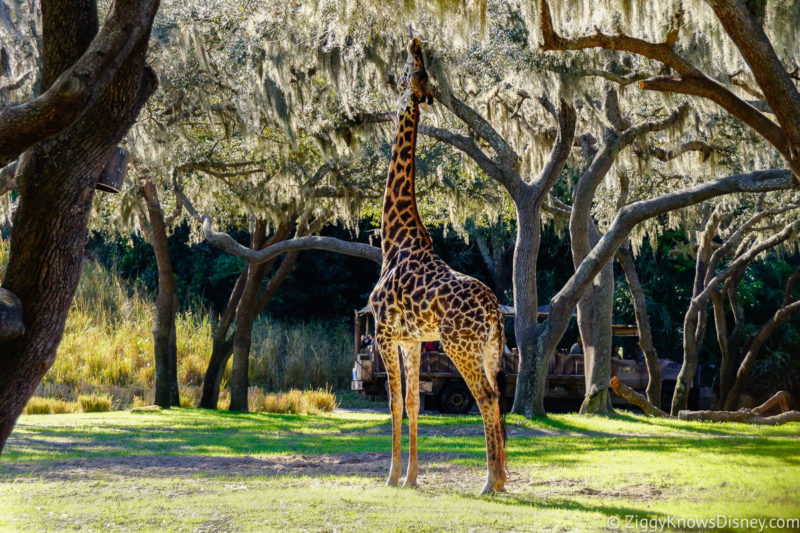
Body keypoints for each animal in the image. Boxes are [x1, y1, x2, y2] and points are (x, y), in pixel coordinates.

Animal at [368, 32, 506, 494]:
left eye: (411, 68)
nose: (399, 83)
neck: (395, 237)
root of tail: (495, 312)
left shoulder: (383, 332)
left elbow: (394, 403)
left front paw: (391, 476)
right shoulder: (410, 339)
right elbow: (414, 403)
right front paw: (411, 477)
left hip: (459, 346)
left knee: (485, 399)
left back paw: (490, 482)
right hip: (488, 349)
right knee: (499, 396)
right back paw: (503, 478)